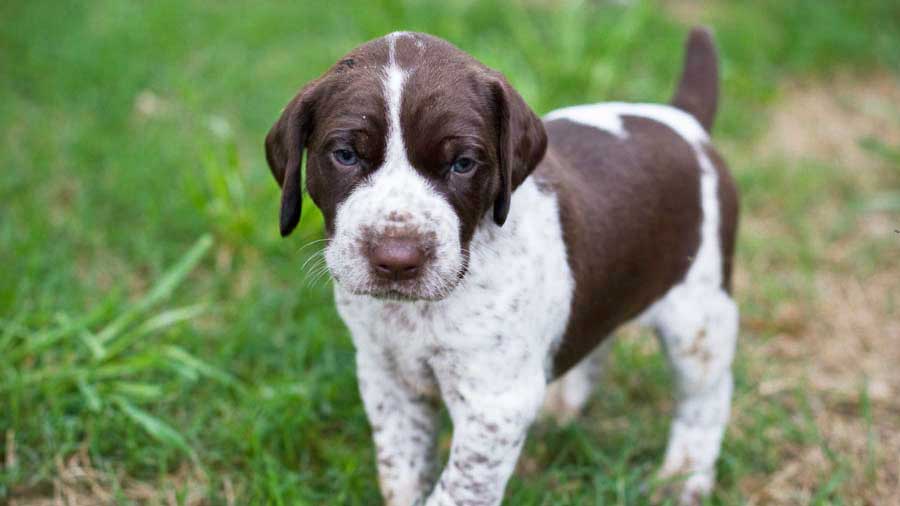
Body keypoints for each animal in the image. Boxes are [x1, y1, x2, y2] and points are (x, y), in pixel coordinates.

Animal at [266, 28, 740, 506]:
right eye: (345, 155)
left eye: (463, 164)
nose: (397, 260)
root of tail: (683, 119)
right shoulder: (387, 377)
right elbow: (401, 469)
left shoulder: (494, 403)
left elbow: (456, 490)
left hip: (698, 318)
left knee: (707, 399)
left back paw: (682, 479)